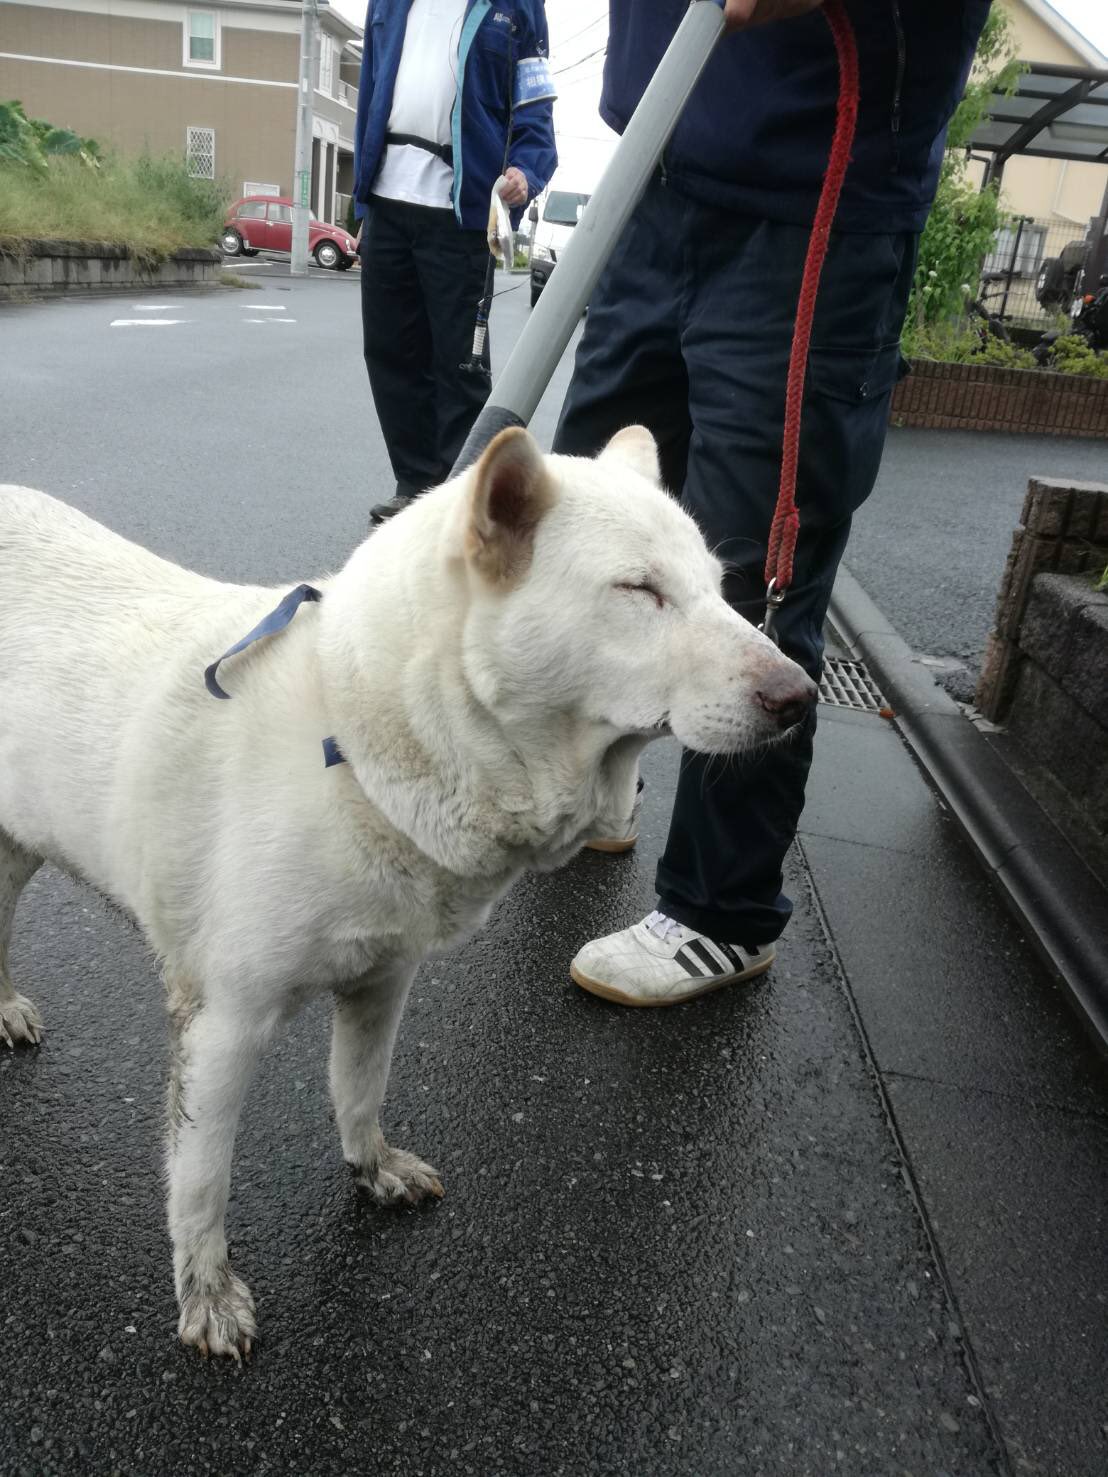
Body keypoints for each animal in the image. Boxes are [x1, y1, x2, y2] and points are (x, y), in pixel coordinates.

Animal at [0, 422, 815, 1352]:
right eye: (640, 589)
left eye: (720, 589)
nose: (801, 695)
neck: (353, 738)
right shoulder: (223, 1021)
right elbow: (201, 1178)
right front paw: (205, 1292)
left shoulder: (382, 979)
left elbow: (360, 1088)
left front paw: (372, 1166)